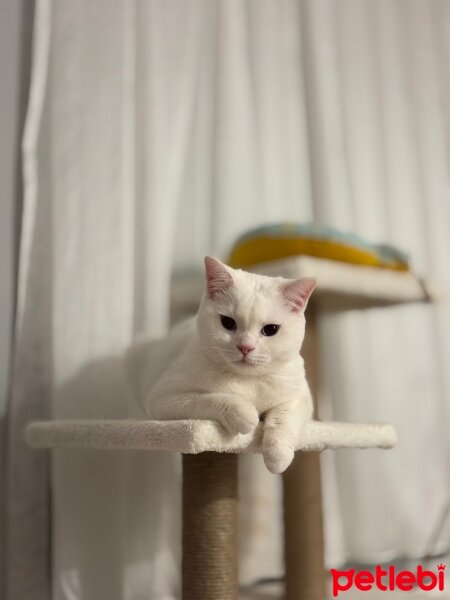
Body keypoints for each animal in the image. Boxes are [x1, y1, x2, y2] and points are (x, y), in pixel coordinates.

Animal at [126, 258, 316, 474]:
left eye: (270, 330)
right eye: (227, 322)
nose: (245, 347)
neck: (247, 381)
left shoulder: (300, 396)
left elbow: (285, 419)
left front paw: (278, 457)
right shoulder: (162, 398)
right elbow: (210, 399)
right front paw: (245, 415)